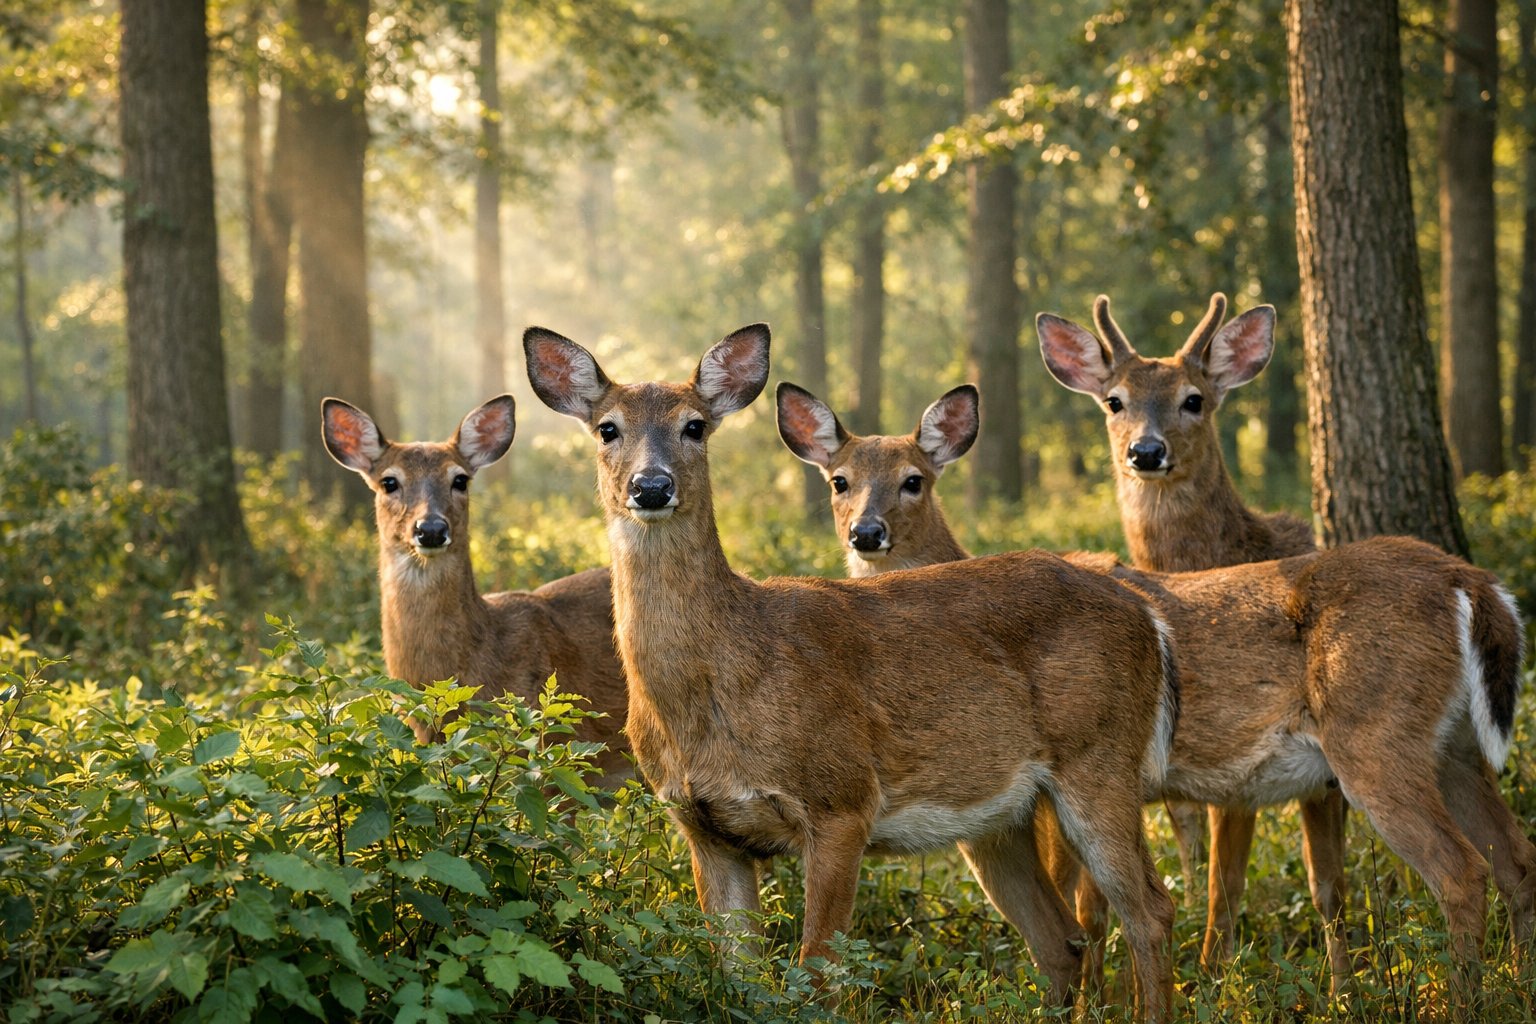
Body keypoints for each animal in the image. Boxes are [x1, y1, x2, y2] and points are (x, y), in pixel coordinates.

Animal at [524, 323, 1180, 1021]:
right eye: (607, 428)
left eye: (694, 426)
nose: (651, 487)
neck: (724, 677)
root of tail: (1145, 614)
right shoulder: (704, 829)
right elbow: (740, 980)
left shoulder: (842, 800)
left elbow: (816, 974)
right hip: (1001, 816)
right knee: (1061, 938)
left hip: (1099, 757)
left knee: (1150, 910)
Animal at [778, 379, 1535, 1002]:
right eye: (839, 480)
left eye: (914, 480)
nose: (866, 533)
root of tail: (1470, 580)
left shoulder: (1054, 793)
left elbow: (1083, 917)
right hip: (1454, 748)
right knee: (1516, 858)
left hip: (1376, 738)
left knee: (1460, 873)